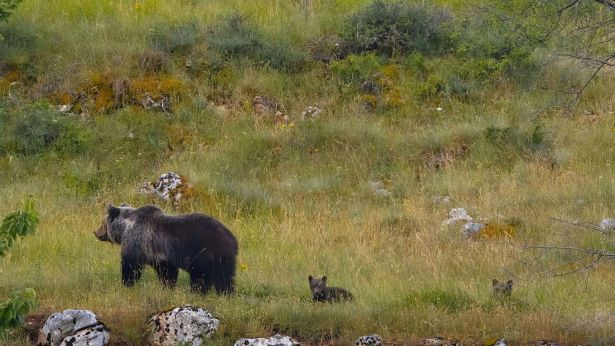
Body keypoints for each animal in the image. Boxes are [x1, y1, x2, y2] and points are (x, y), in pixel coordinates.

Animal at [94, 203, 238, 294]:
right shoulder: (160, 257)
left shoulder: (137, 244)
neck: (126, 228)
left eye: (102, 222)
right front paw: (167, 287)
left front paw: (127, 284)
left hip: (209, 253)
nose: (95, 232)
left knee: (219, 277)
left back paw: (222, 293)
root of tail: (232, 239)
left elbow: (131, 267)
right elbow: (167, 273)